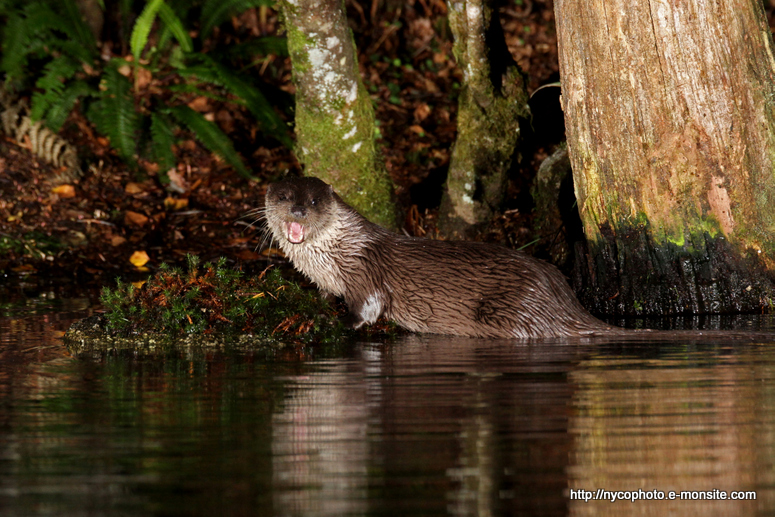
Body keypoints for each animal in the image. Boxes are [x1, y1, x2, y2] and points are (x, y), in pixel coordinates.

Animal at [266, 177, 624, 338]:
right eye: (283, 196)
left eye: (314, 201)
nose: (298, 210)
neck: (340, 253)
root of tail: (565, 300)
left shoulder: (366, 272)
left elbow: (367, 309)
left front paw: (337, 321)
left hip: (513, 310)